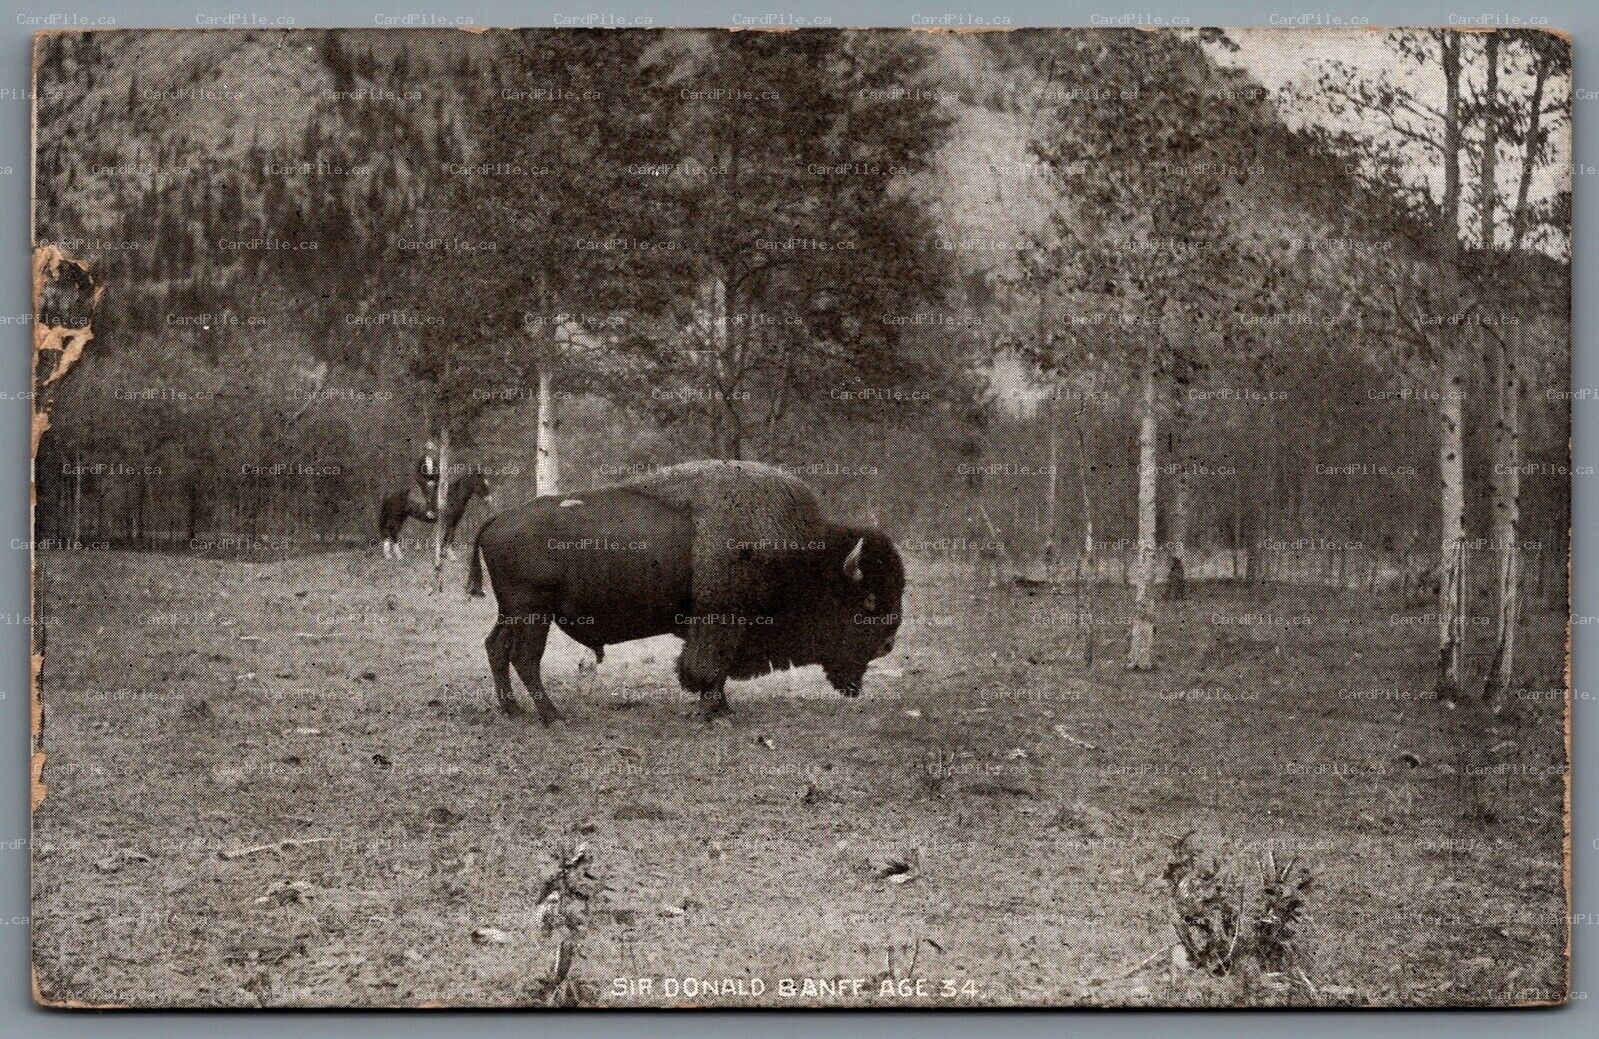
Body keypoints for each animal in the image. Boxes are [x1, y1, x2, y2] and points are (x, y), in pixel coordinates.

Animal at [467, 460, 904, 723]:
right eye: (868, 601)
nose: (888, 645)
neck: (802, 556)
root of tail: (496, 520)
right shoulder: (720, 622)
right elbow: (708, 667)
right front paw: (713, 711)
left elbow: (718, 670)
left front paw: (720, 706)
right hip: (533, 614)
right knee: (525, 657)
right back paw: (551, 715)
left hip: (513, 612)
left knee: (496, 647)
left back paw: (512, 709)